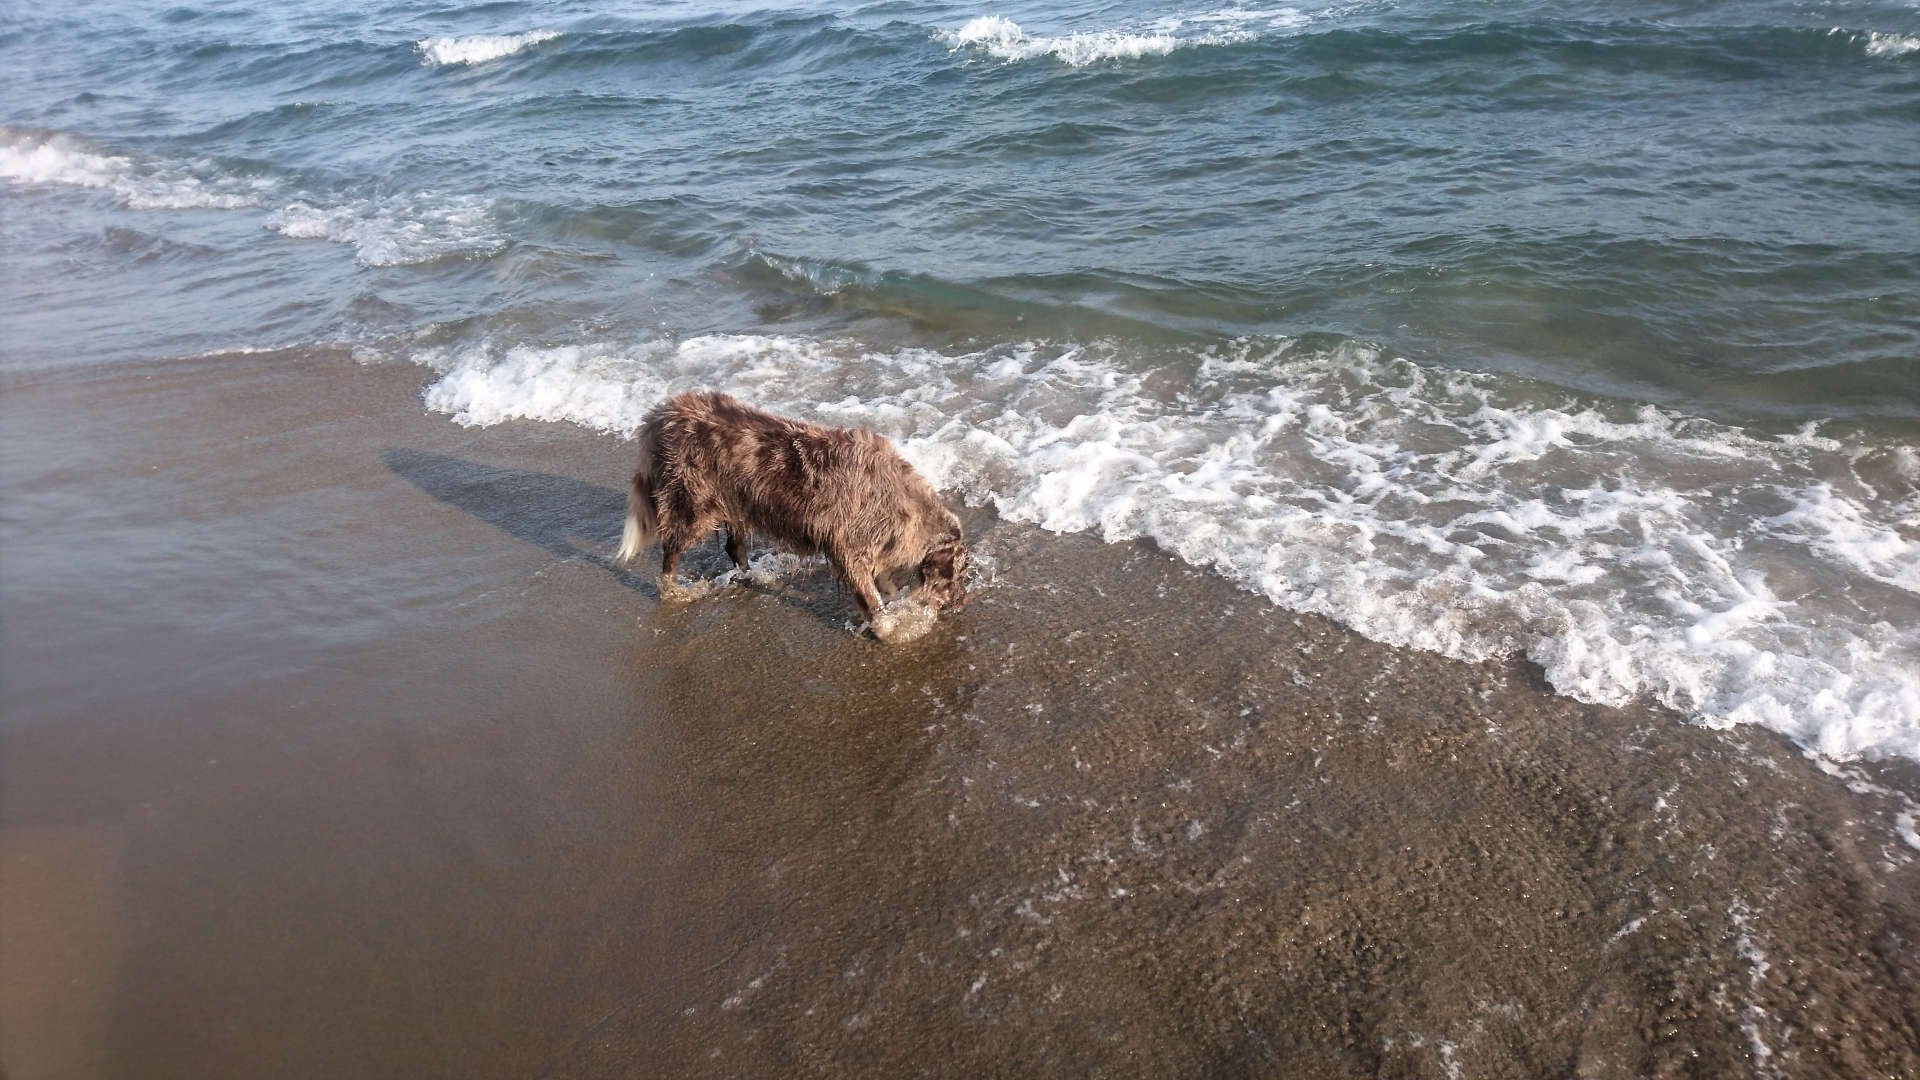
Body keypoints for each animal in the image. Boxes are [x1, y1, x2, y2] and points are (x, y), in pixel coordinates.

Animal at [616, 391, 969, 632]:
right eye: (960, 575)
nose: (963, 603)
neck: (899, 501)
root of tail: (661, 413)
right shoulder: (847, 548)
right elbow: (872, 600)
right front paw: (891, 629)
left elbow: (883, 582)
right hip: (693, 506)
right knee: (672, 549)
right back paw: (672, 588)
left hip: (737, 501)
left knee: (733, 546)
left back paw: (749, 575)